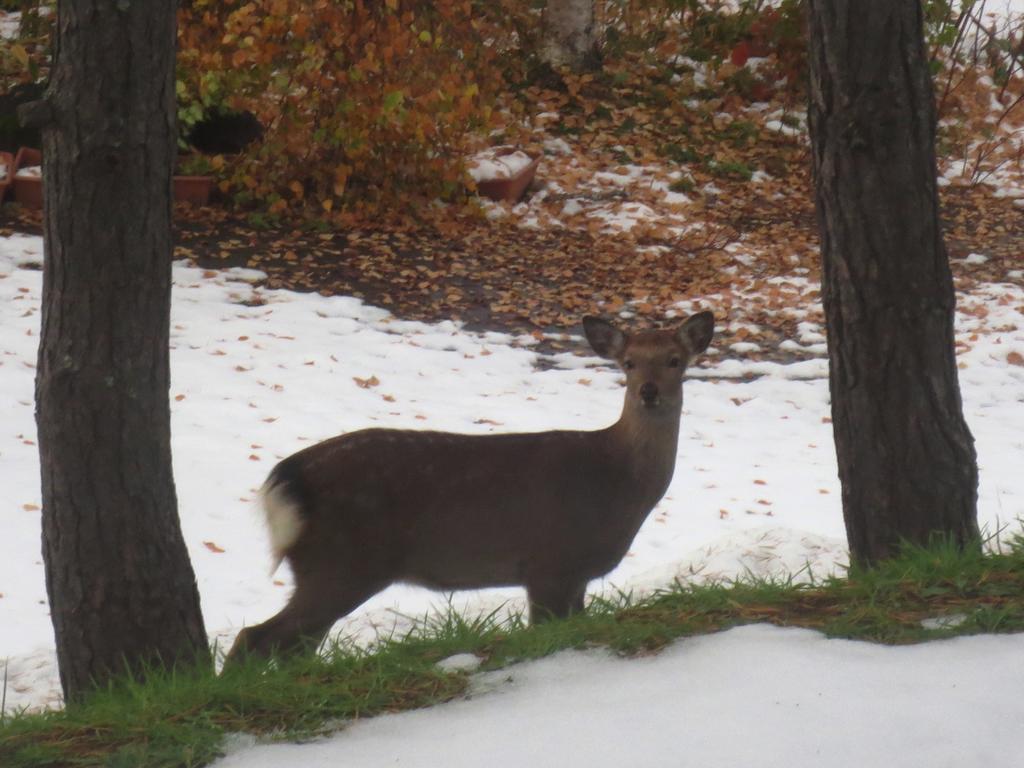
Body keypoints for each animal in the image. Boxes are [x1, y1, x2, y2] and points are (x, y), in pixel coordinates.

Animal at [228, 313, 716, 667]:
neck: (618, 484)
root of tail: (286, 480)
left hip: (326, 569)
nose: (648, 391)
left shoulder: (576, 575)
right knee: (256, 637)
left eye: (675, 360)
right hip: (341, 563)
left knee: (292, 645)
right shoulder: (551, 563)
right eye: (629, 362)